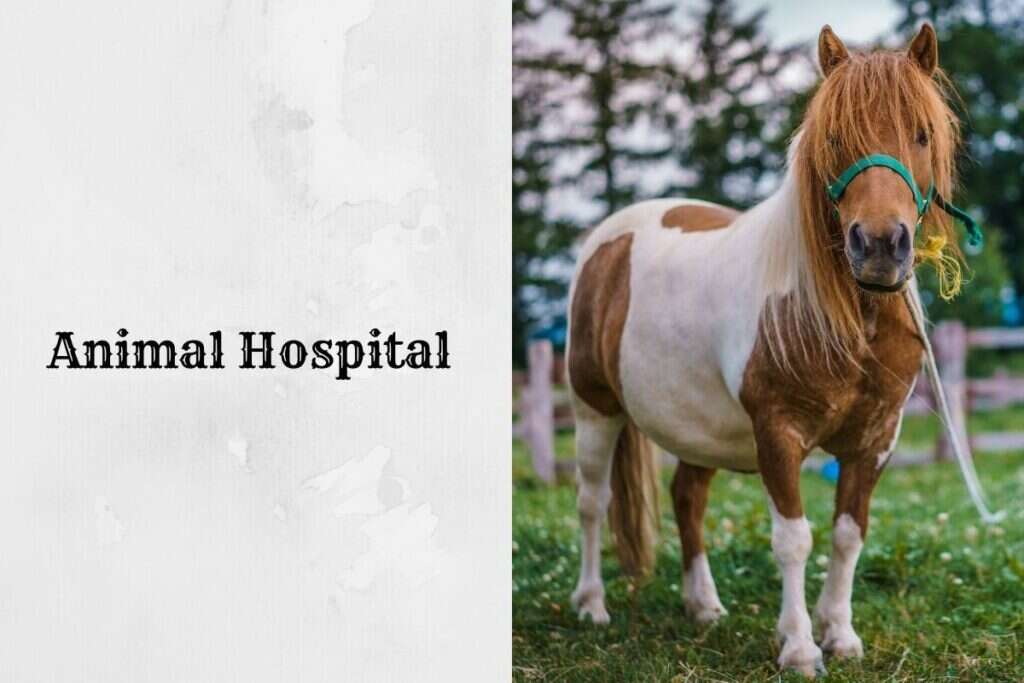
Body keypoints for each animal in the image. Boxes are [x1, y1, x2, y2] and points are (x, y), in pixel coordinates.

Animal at [565, 24, 967, 677]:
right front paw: (800, 647)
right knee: (592, 502)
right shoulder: (778, 432)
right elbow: (795, 539)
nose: (881, 246)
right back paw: (591, 605)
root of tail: (606, 241)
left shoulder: (875, 440)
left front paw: (841, 635)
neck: (845, 317)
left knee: (688, 499)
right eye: (834, 136)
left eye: (922, 133)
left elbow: (848, 534)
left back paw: (703, 607)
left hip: (697, 425)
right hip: (593, 410)